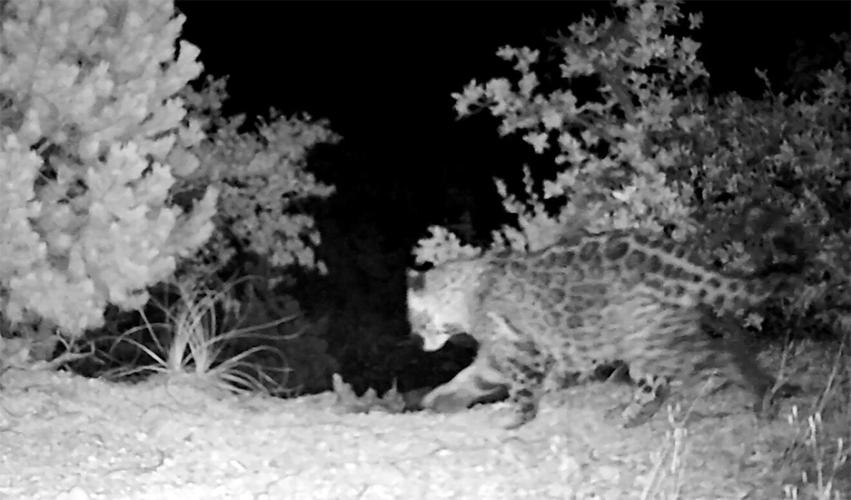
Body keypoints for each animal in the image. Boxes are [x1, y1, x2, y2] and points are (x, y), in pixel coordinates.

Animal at [407, 228, 800, 430]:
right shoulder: (498, 354)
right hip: (654, 337)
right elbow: (471, 377)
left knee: (717, 354)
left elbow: (519, 389)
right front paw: (439, 398)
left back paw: (763, 397)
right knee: (666, 379)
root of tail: (678, 257)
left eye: (418, 323)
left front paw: (515, 418)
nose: (423, 346)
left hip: (653, 341)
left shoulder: (519, 352)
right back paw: (630, 415)